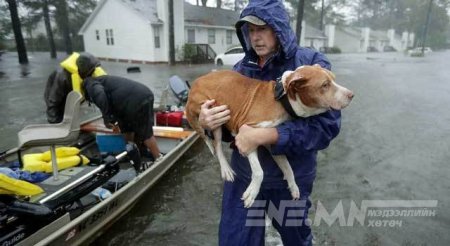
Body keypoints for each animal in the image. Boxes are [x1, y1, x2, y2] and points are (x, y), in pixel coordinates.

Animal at [185, 65, 354, 208]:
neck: (283, 100)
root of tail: (196, 82)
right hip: (214, 114)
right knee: (217, 146)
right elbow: (259, 172)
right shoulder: (246, 135)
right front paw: (252, 192)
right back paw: (226, 170)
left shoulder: (272, 142)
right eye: (325, 85)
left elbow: (287, 167)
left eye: (333, 79)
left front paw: (293, 186)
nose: (352, 95)